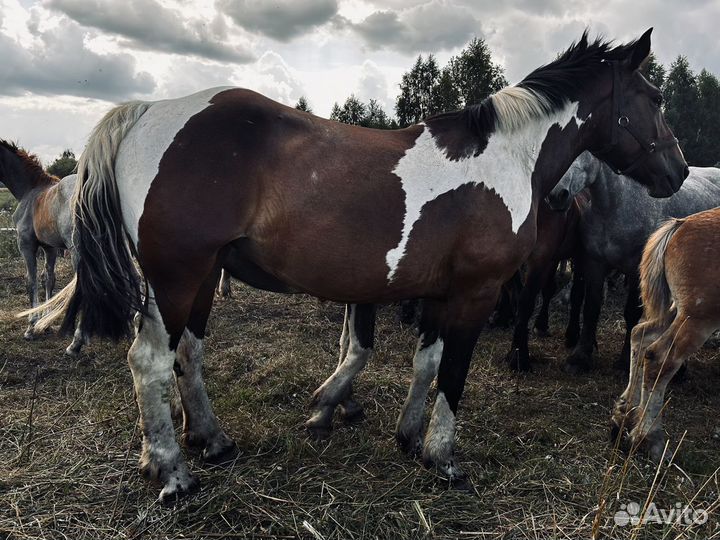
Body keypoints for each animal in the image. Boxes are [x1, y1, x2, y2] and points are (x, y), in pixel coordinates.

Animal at [544, 150, 720, 374]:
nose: (557, 195)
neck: (614, 206)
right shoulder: (594, 264)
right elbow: (591, 307)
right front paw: (579, 358)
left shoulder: (636, 269)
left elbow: (631, 313)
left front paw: (624, 360)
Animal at [612, 209, 720, 462]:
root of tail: (680, 225)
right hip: (698, 318)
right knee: (660, 359)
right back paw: (649, 438)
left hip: (675, 310)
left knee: (640, 335)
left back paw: (626, 410)